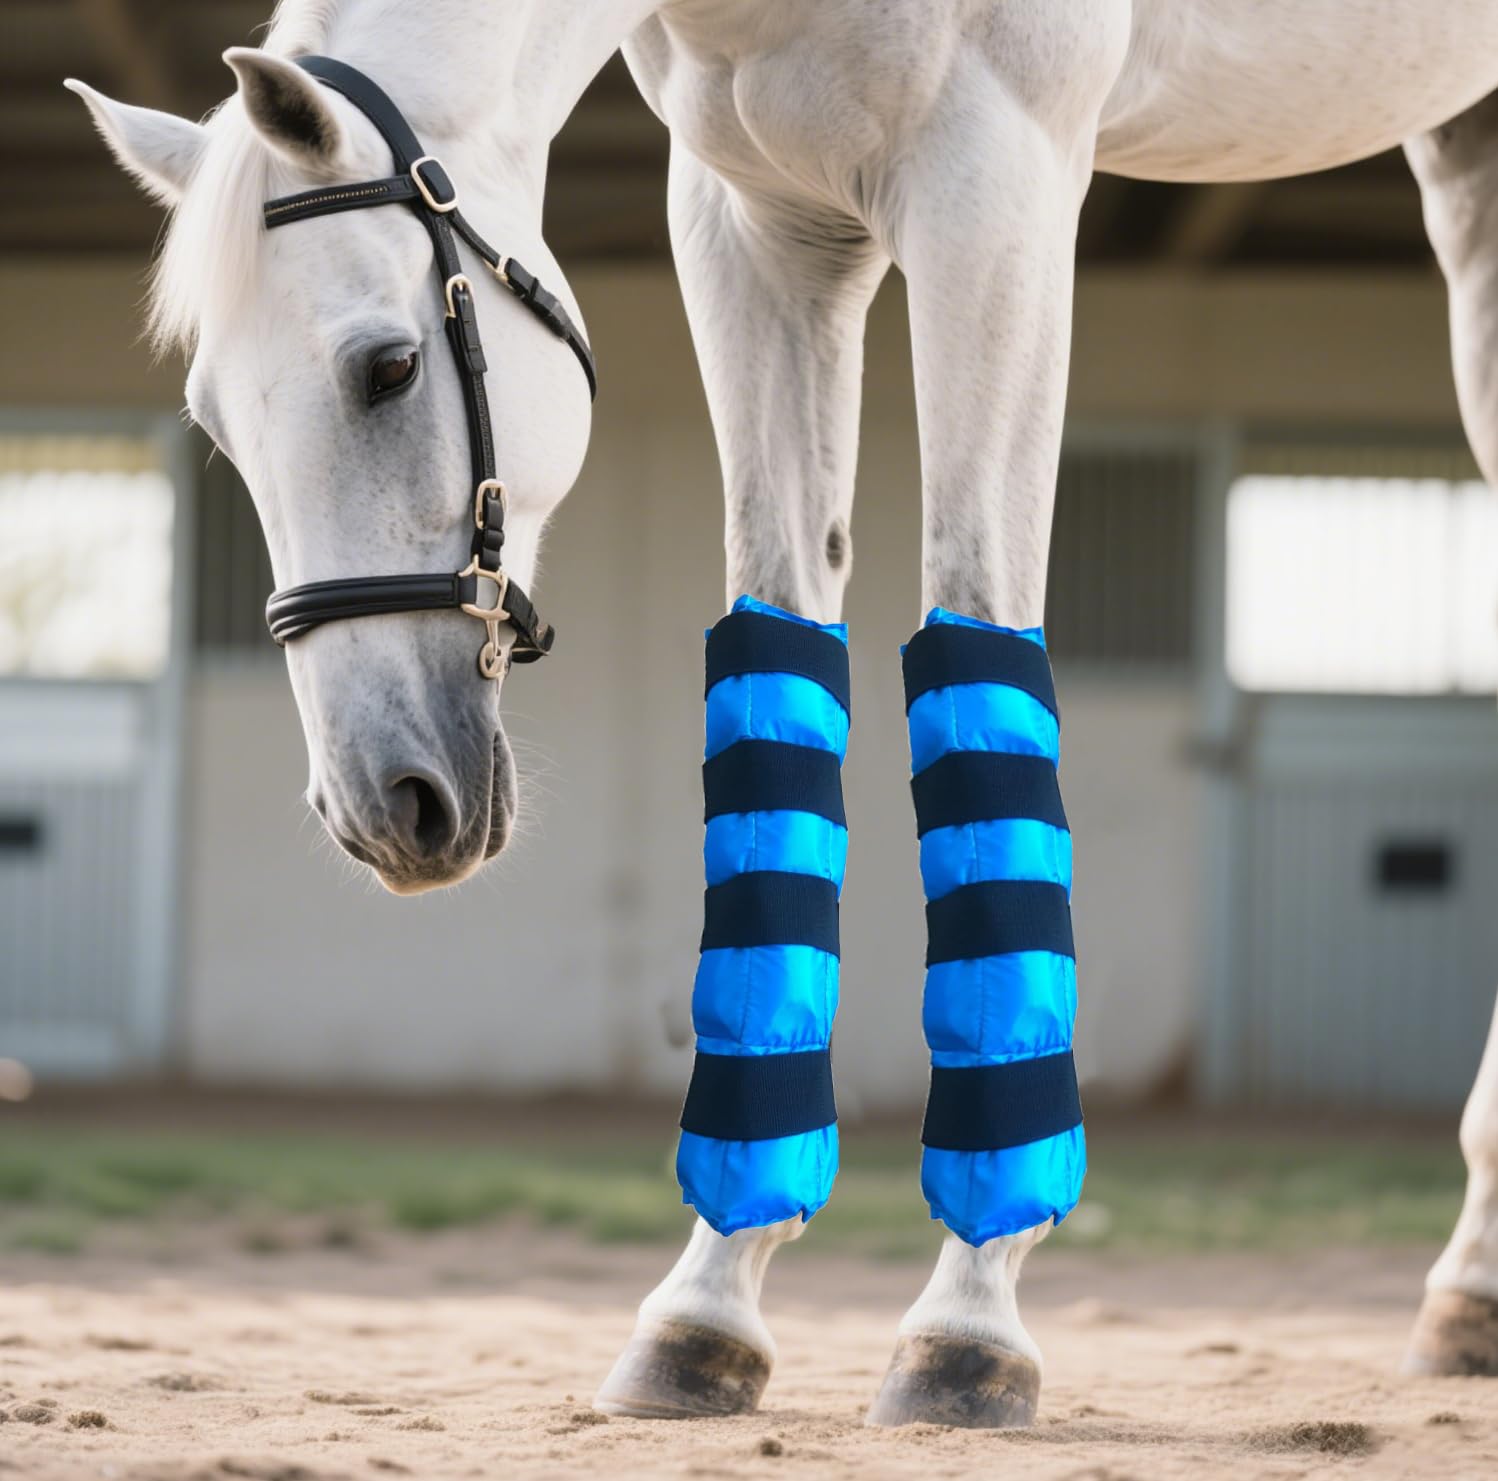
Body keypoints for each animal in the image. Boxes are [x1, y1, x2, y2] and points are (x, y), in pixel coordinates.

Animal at [70, 0, 1498, 1429]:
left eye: (391, 365)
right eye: (212, 423)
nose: (379, 803)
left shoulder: (999, 180)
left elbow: (977, 633)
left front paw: (967, 1323)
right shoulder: (756, 219)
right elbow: (778, 660)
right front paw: (706, 1306)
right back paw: (1467, 1295)